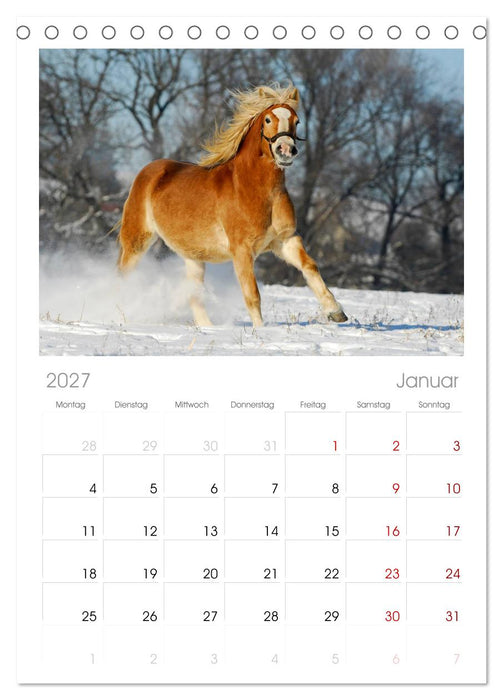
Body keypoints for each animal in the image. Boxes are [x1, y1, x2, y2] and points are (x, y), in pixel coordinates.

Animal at [117, 84, 347, 328]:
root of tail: (148, 172)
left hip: (193, 256)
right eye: (268, 119)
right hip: (137, 240)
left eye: (297, 120)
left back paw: (208, 328)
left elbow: (309, 266)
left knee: (194, 295)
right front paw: (261, 330)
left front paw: (336, 312)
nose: (285, 150)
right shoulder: (242, 250)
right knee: (123, 277)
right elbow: (252, 294)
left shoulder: (285, 240)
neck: (257, 191)